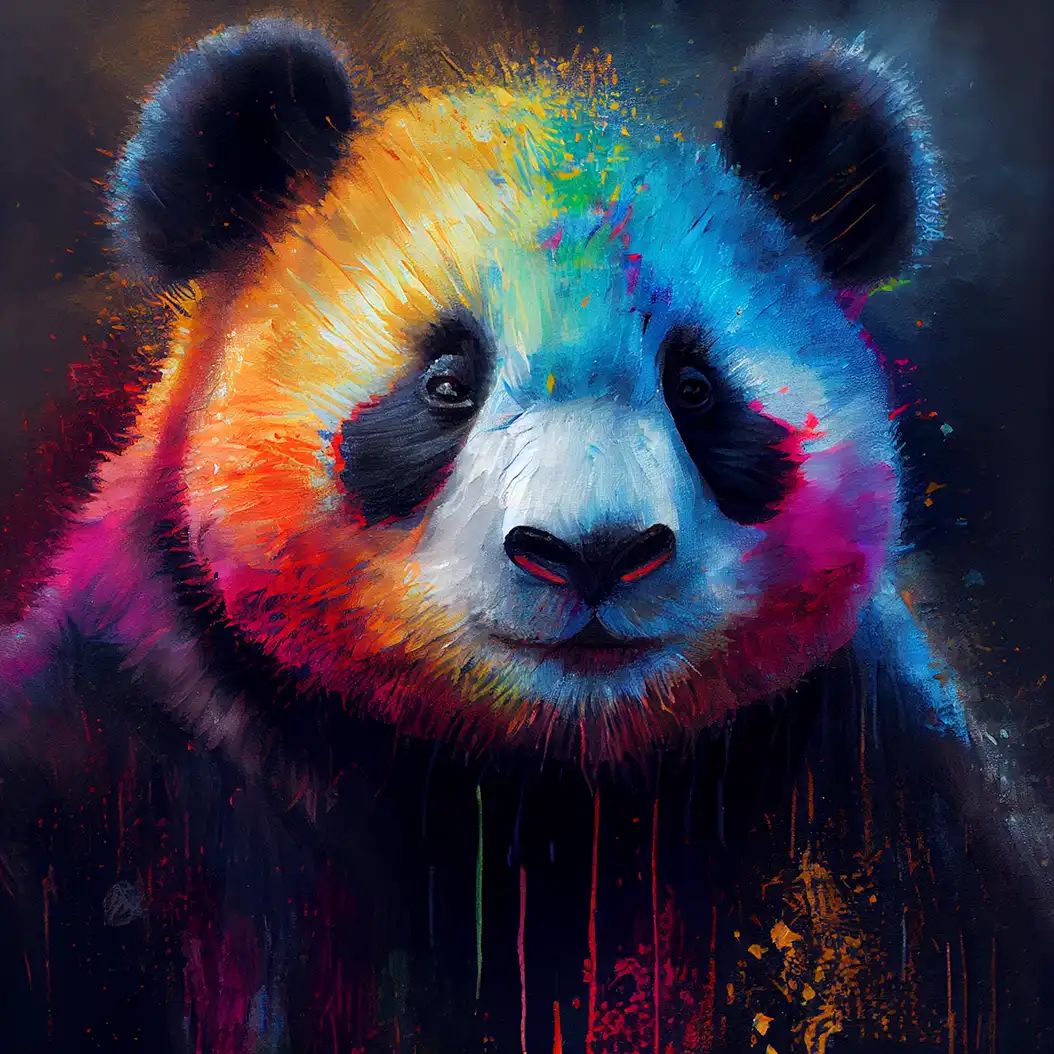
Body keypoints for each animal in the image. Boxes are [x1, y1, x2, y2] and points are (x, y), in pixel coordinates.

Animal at [1, 16, 1050, 1054]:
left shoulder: (874, 795)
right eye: (444, 384)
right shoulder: (140, 757)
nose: (593, 552)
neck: (529, 792)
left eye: (696, 388)